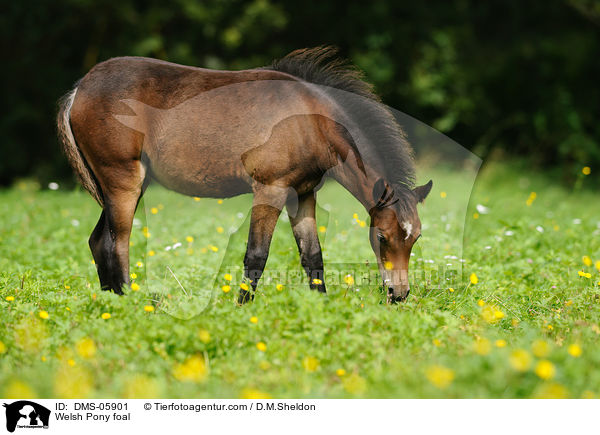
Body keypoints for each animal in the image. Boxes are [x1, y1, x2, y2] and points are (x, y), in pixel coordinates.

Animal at [57, 46, 432, 304]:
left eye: (414, 238)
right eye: (381, 237)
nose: (399, 295)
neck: (311, 120)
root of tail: (79, 90)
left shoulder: (303, 194)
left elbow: (313, 256)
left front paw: (321, 308)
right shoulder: (270, 189)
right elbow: (256, 256)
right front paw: (240, 309)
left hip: (125, 185)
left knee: (97, 241)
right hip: (124, 182)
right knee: (115, 243)